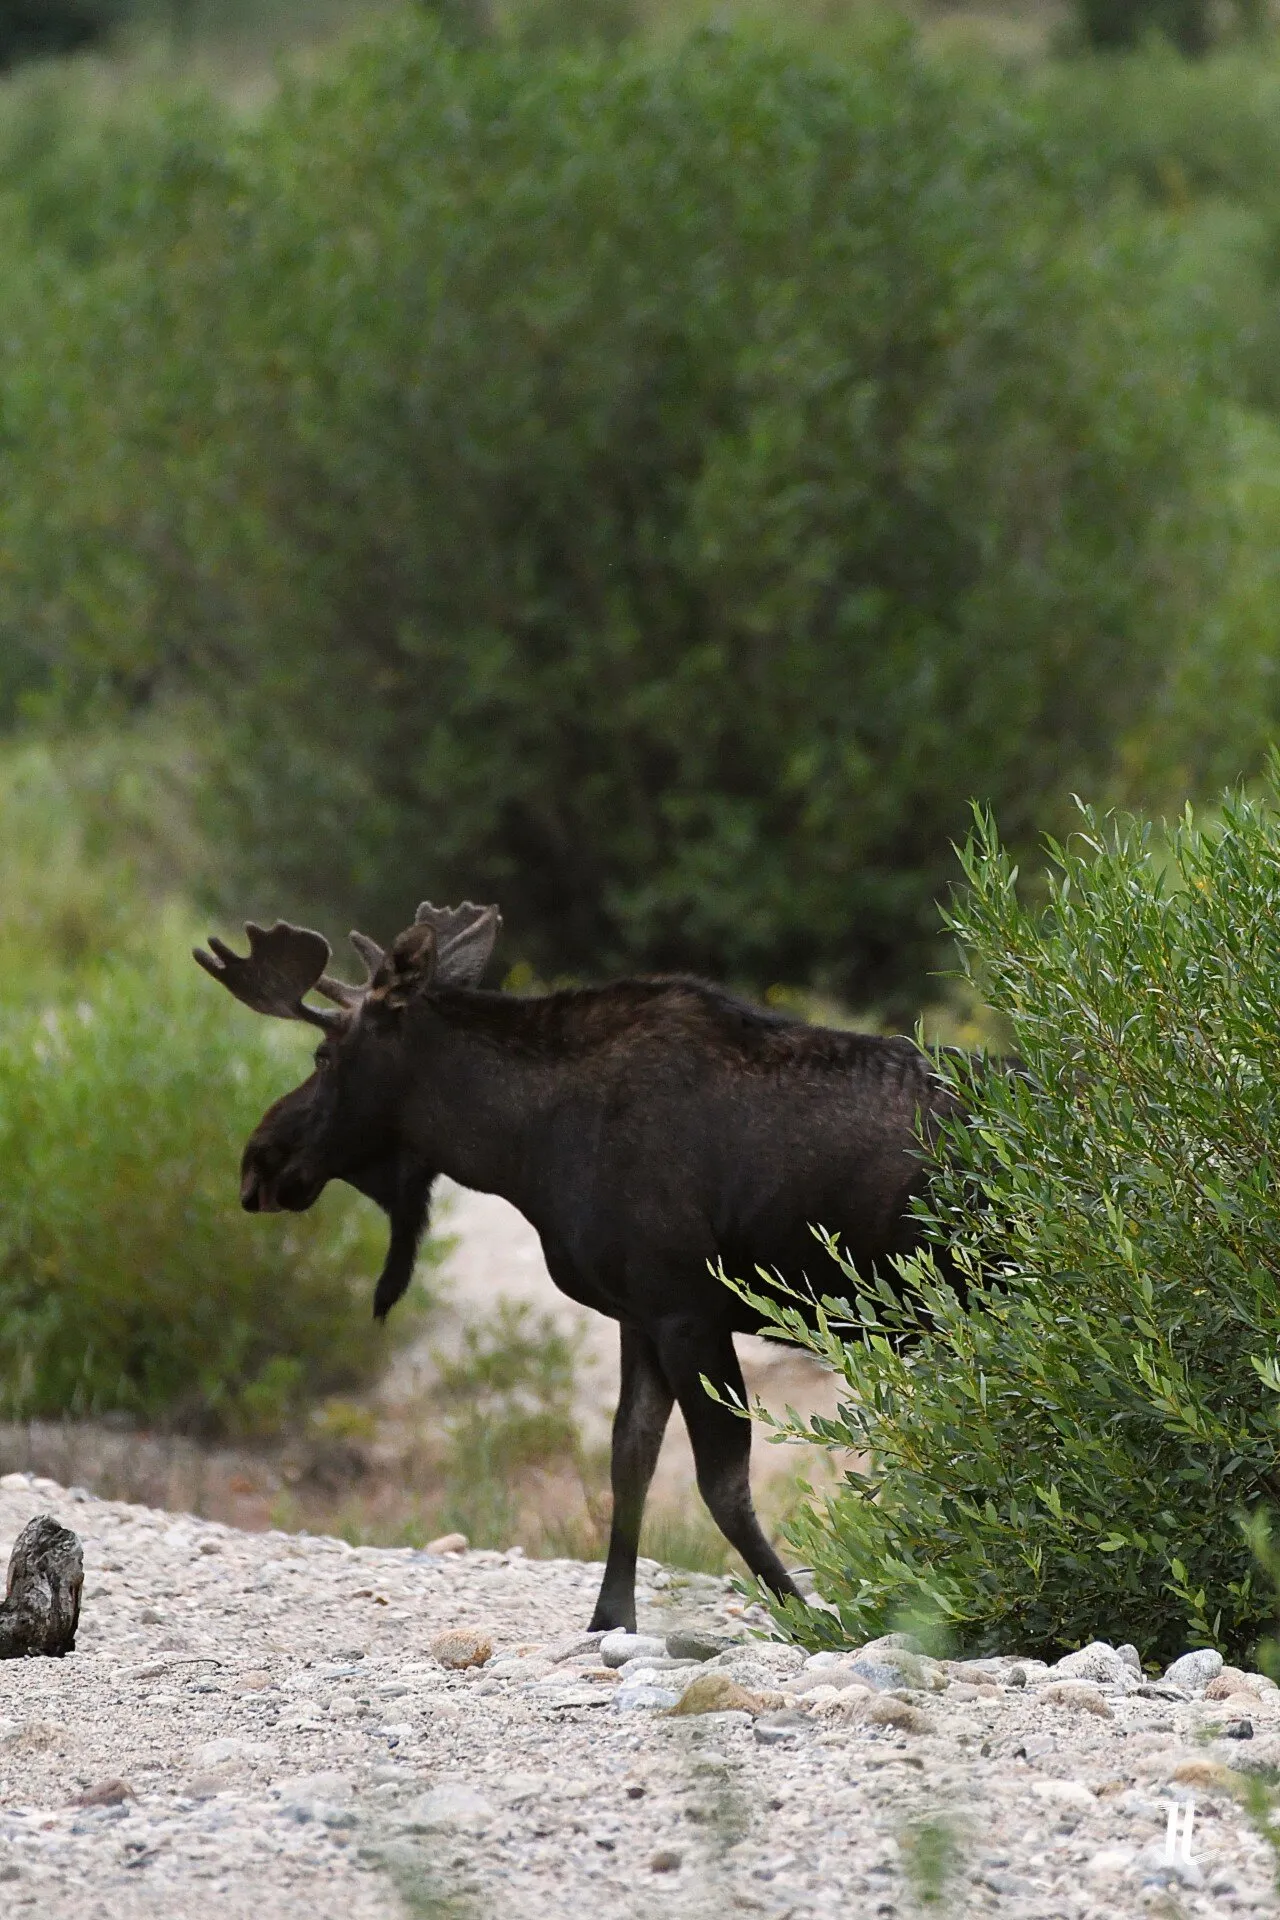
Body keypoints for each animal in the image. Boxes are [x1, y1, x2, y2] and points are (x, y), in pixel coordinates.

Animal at [196, 900, 960, 1633]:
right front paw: (610, 1615)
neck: (519, 1147)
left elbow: (720, 1483)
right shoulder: (640, 1317)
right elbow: (630, 1458)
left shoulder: (687, 1309)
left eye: (324, 1055)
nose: (257, 1162)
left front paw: (806, 1614)